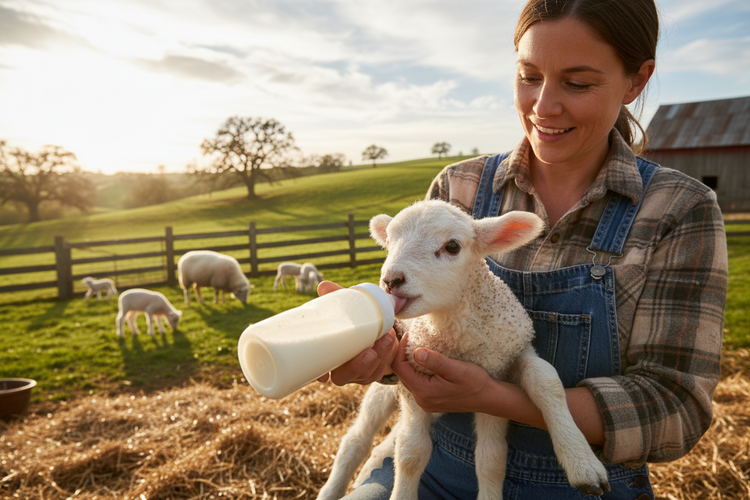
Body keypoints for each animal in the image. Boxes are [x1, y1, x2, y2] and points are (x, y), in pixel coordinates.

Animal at [317, 200, 610, 500]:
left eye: (452, 246)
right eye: (390, 241)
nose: (391, 280)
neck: (459, 342)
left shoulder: (501, 369)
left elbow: (496, 453)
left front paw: (582, 462)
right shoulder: (411, 381)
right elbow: (411, 454)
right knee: (356, 440)